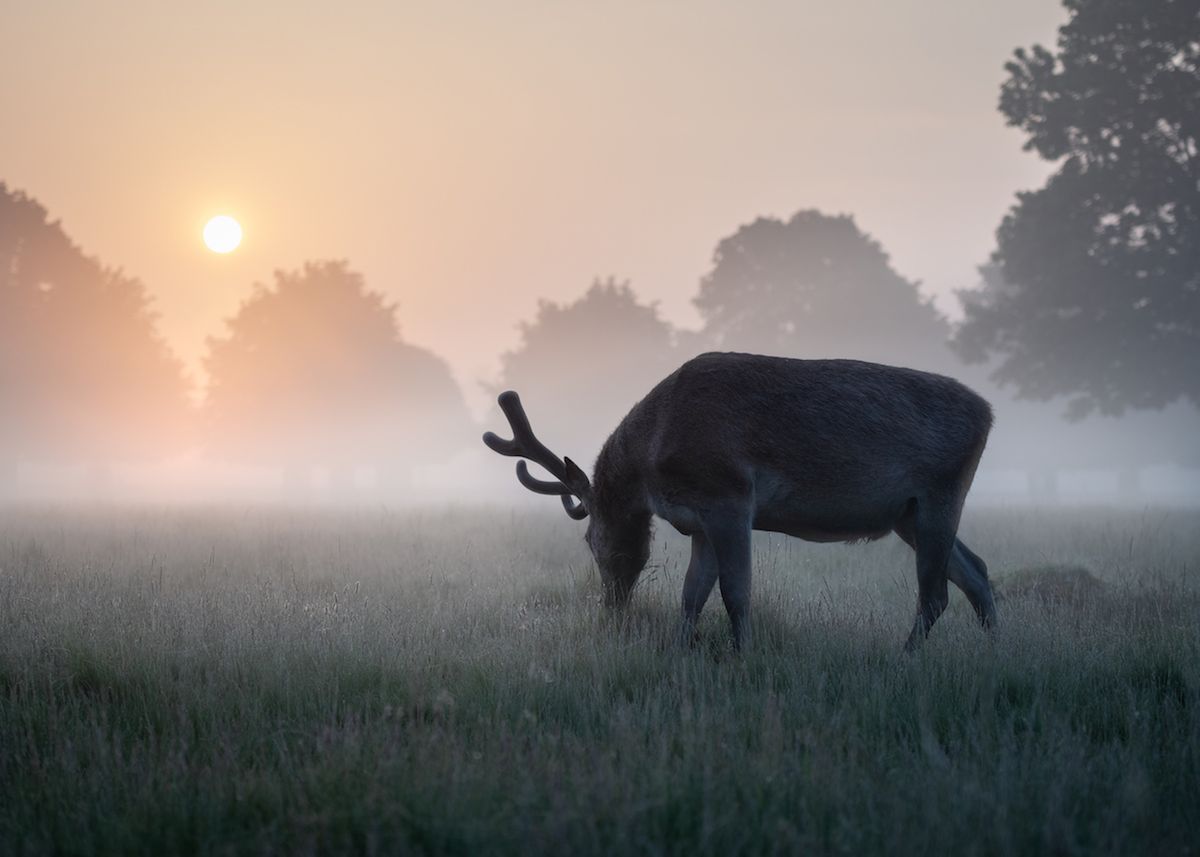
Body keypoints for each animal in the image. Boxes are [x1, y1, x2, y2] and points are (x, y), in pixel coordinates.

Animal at [482, 348, 998, 648]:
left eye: (591, 541)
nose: (612, 607)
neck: (654, 458)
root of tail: (989, 412)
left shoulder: (729, 495)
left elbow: (735, 592)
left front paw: (743, 655)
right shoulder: (699, 520)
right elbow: (691, 595)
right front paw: (680, 652)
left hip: (942, 490)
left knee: (935, 593)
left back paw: (907, 656)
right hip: (907, 514)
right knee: (975, 571)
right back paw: (995, 649)